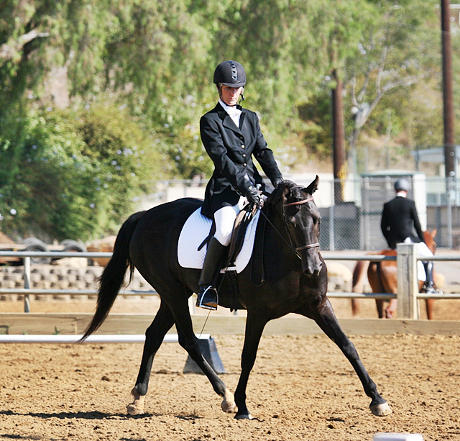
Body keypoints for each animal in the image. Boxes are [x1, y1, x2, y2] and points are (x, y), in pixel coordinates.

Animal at [81, 178, 390, 420]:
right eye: (290, 223)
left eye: (317, 219)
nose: (312, 268)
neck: (289, 259)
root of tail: (144, 216)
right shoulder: (258, 313)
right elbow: (248, 357)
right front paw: (242, 406)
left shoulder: (319, 305)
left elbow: (347, 346)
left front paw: (378, 400)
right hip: (172, 293)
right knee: (189, 340)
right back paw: (226, 397)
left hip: (174, 294)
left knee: (154, 334)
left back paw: (137, 398)